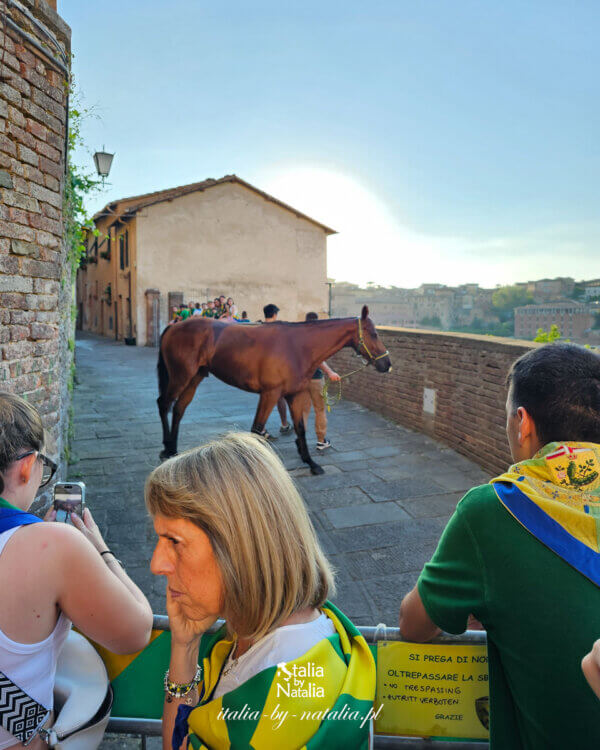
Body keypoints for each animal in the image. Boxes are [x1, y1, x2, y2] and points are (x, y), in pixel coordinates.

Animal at [157, 306, 392, 476]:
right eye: (374, 333)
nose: (387, 364)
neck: (298, 347)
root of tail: (173, 327)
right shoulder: (269, 394)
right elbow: (255, 430)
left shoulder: (294, 395)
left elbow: (300, 428)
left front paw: (310, 462)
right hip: (180, 376)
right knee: (164, 404)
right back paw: (167, 448)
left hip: (194, 378)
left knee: (179, 408)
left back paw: (174, 449)